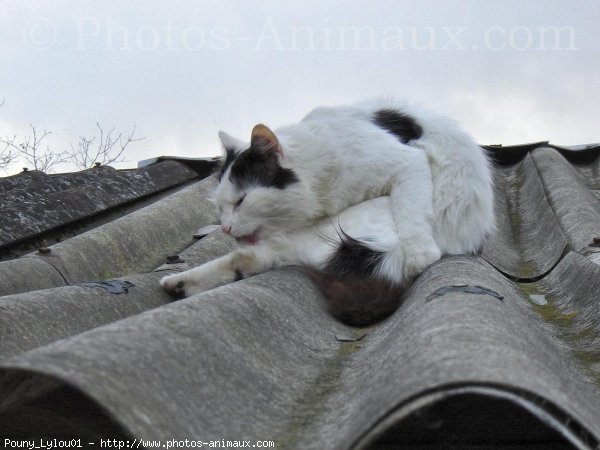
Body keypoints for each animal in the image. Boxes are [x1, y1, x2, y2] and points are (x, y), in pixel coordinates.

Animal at [158, 97, 492, 324]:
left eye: (241, 201)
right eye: (221, 207)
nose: (226, 229)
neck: (322, 190)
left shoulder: (408, 163)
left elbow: (412, 213)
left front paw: (421, 256)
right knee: (247, 259)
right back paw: (177, 283)